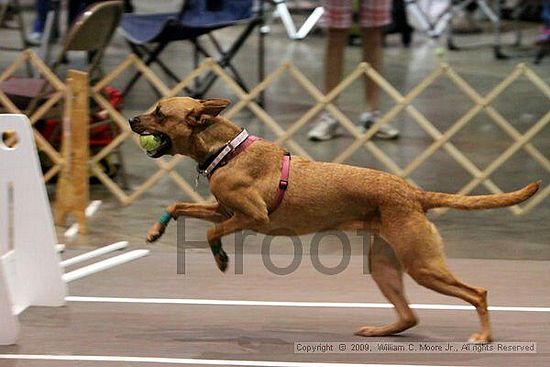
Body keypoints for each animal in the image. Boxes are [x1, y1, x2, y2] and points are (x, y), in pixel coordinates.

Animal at [130, 96, 544, 344]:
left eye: (160, 113)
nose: (132, 118)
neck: (226, 149)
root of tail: (414, 193)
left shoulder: (251, 216)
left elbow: (212, 232)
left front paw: (220, 259)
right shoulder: (225, 210)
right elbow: (180, 205)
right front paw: (155, 230)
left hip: (422, 264)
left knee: (478, 292)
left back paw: (484, 337)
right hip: (384, 265)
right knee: (409, 315)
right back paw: (381, 330)